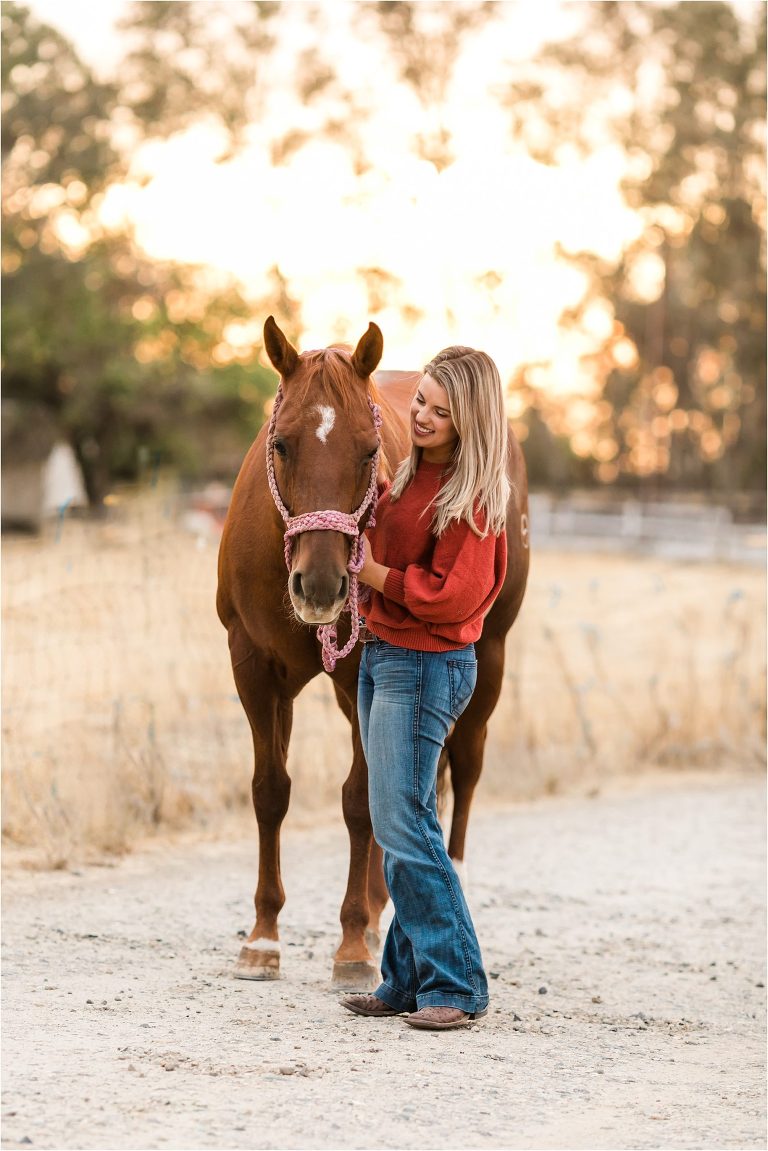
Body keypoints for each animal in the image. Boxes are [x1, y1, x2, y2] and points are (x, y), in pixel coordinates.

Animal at [216, 316, 530, 987]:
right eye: (281, 444)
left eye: (367, 450)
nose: (321, 586)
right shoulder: (253, 666)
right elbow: (270, 791)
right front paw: (263, 937)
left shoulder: (367, 668)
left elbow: (360, 802)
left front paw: (352, 944)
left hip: (487, 657)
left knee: (463, 767)